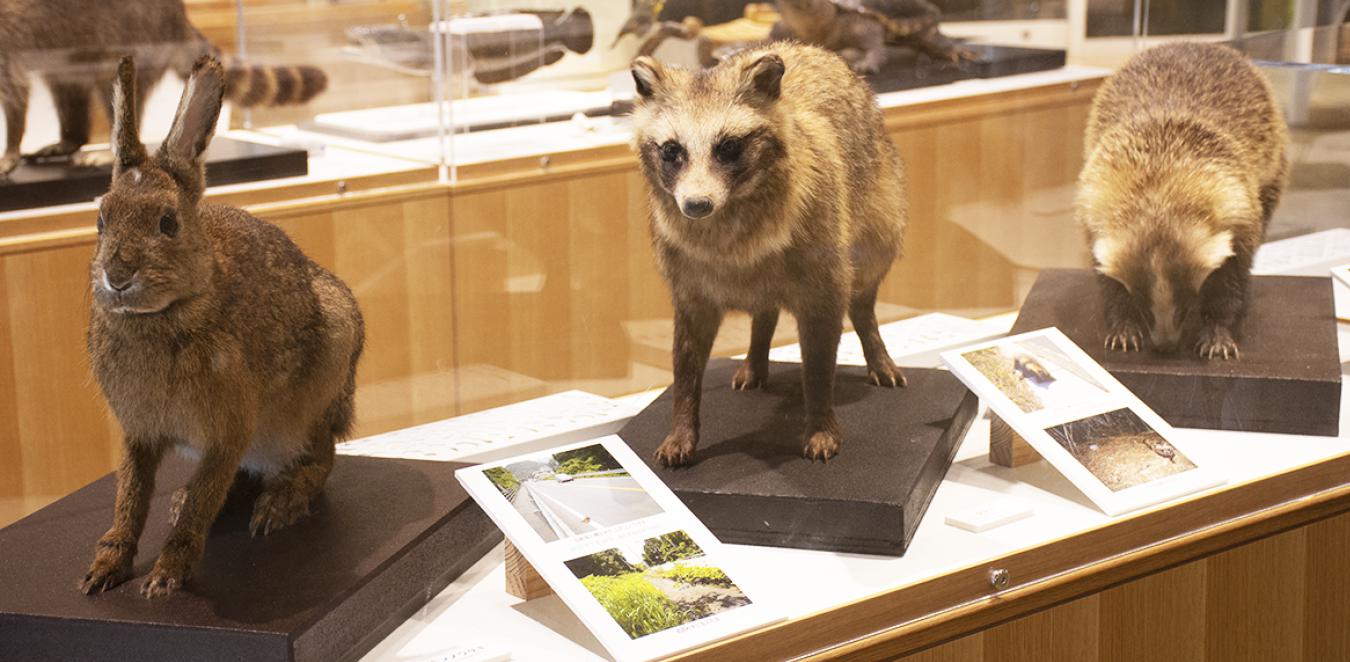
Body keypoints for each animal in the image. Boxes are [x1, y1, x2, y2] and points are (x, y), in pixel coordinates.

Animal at [0, 0, 326, 175]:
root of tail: (178, 14)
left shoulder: (7, 41)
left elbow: (15, 92)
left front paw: (11, 149)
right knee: (66, 86)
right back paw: (71, 139)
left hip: (136, 33)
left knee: (119, 90)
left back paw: (109, 148)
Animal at [81, 59, 361, 599]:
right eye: (101, 219)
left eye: (168, 223)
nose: (118, 277)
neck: (163, 315)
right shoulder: (138, 433)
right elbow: (129, 497)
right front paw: (104, 568)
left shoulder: (227, 431)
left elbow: (201, 505)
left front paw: (165, 577)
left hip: (316, 392)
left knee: (320, 459)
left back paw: (279, 505)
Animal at [629, 42, 907, 464]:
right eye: (672, 151)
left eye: (728, 146)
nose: (696, 205)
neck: (729, 220)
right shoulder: (685, 271)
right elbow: (686, 356)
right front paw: (683, 425)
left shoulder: (822, 250)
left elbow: (820, 354)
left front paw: (820, 420)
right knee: (765, 308)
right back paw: (757, 352)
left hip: (881, 206)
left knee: (865, 286)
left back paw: (873, 342)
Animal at [1074, 43, 1285, 359]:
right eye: (1144, 306)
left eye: (1185, 304)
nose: (1166, 345)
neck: (1161, 191)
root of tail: (1196, 43)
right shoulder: (1094, 213)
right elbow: (1108, 283)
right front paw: (1124, 332)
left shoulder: (1241, 211)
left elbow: (1230, 282)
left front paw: (1217, 338)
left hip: (1273, 161)